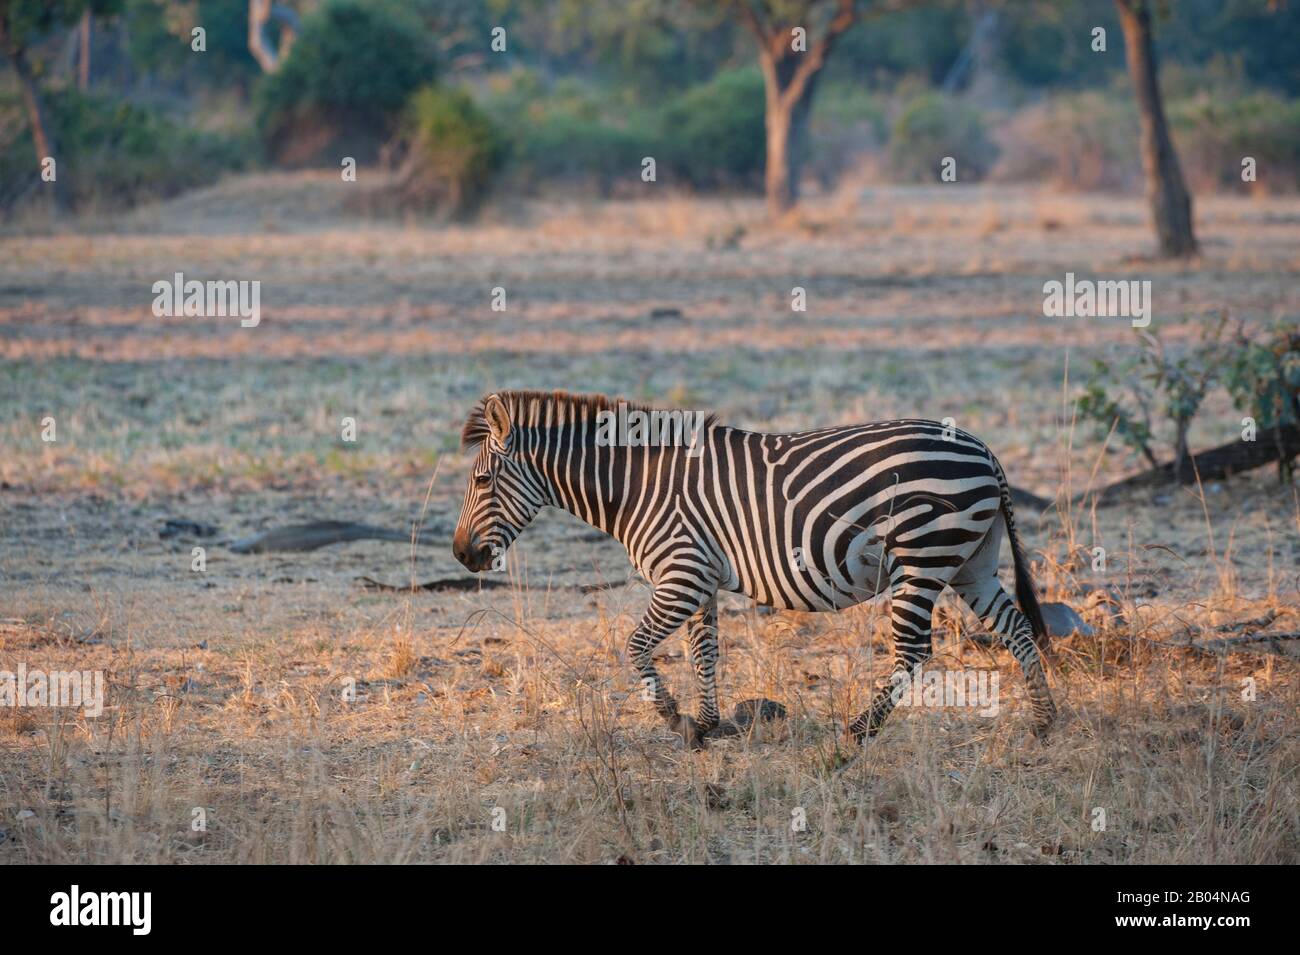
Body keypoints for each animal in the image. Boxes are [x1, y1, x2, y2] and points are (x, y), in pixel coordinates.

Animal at [452, 390, 1055, 750]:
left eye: (481, 482)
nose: (461, 556)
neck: (637, 487)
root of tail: (983, 448)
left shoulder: (681, 573)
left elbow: (636, 646)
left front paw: (673, 718)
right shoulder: (698, 578)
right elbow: (704, 651)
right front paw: (706, 726)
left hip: (923, 556)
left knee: (914, 652)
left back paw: (859, 730)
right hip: (970, 562)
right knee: (1017, 628)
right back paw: (1045, 722)